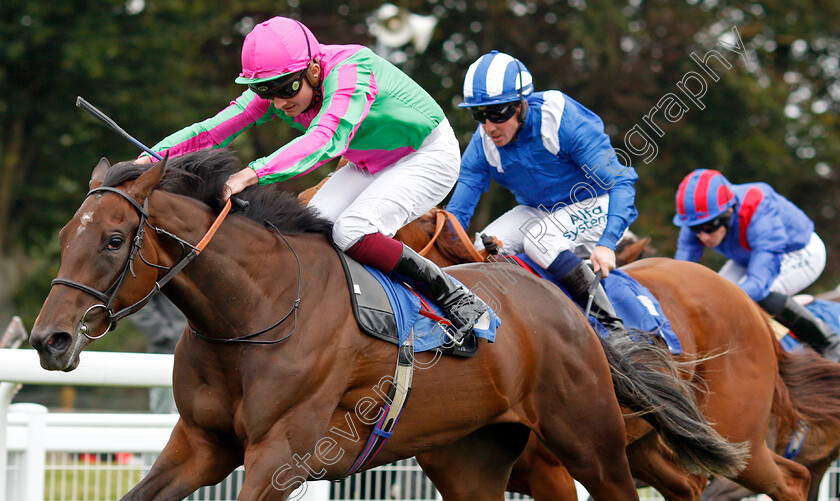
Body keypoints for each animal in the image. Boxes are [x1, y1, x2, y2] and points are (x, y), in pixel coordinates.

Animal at [29, 151, 744, 500]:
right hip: (471, 457)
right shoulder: (201, 445)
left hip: (590, 441)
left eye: (114, 240)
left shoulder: (281, 453)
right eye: (64, 238)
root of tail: (560, 300)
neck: (255, 311)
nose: (49, 340)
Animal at [406, 209, 840, 498]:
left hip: (738, 435)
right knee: (689, 485)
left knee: (792, 480)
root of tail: (752, 307)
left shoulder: (555, 472)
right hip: (650, 441)